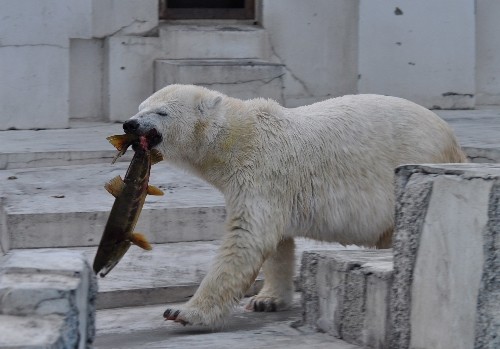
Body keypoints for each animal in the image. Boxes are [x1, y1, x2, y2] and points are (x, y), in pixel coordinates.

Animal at [123, 83, 466, 326]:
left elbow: (247, 238)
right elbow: (278, 243)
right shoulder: (273, 185)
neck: (239, 136)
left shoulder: (263, 171)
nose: (130, 124)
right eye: (141, 107)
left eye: (162, 112)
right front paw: (267, 300)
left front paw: (183, 312)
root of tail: (453, 141)